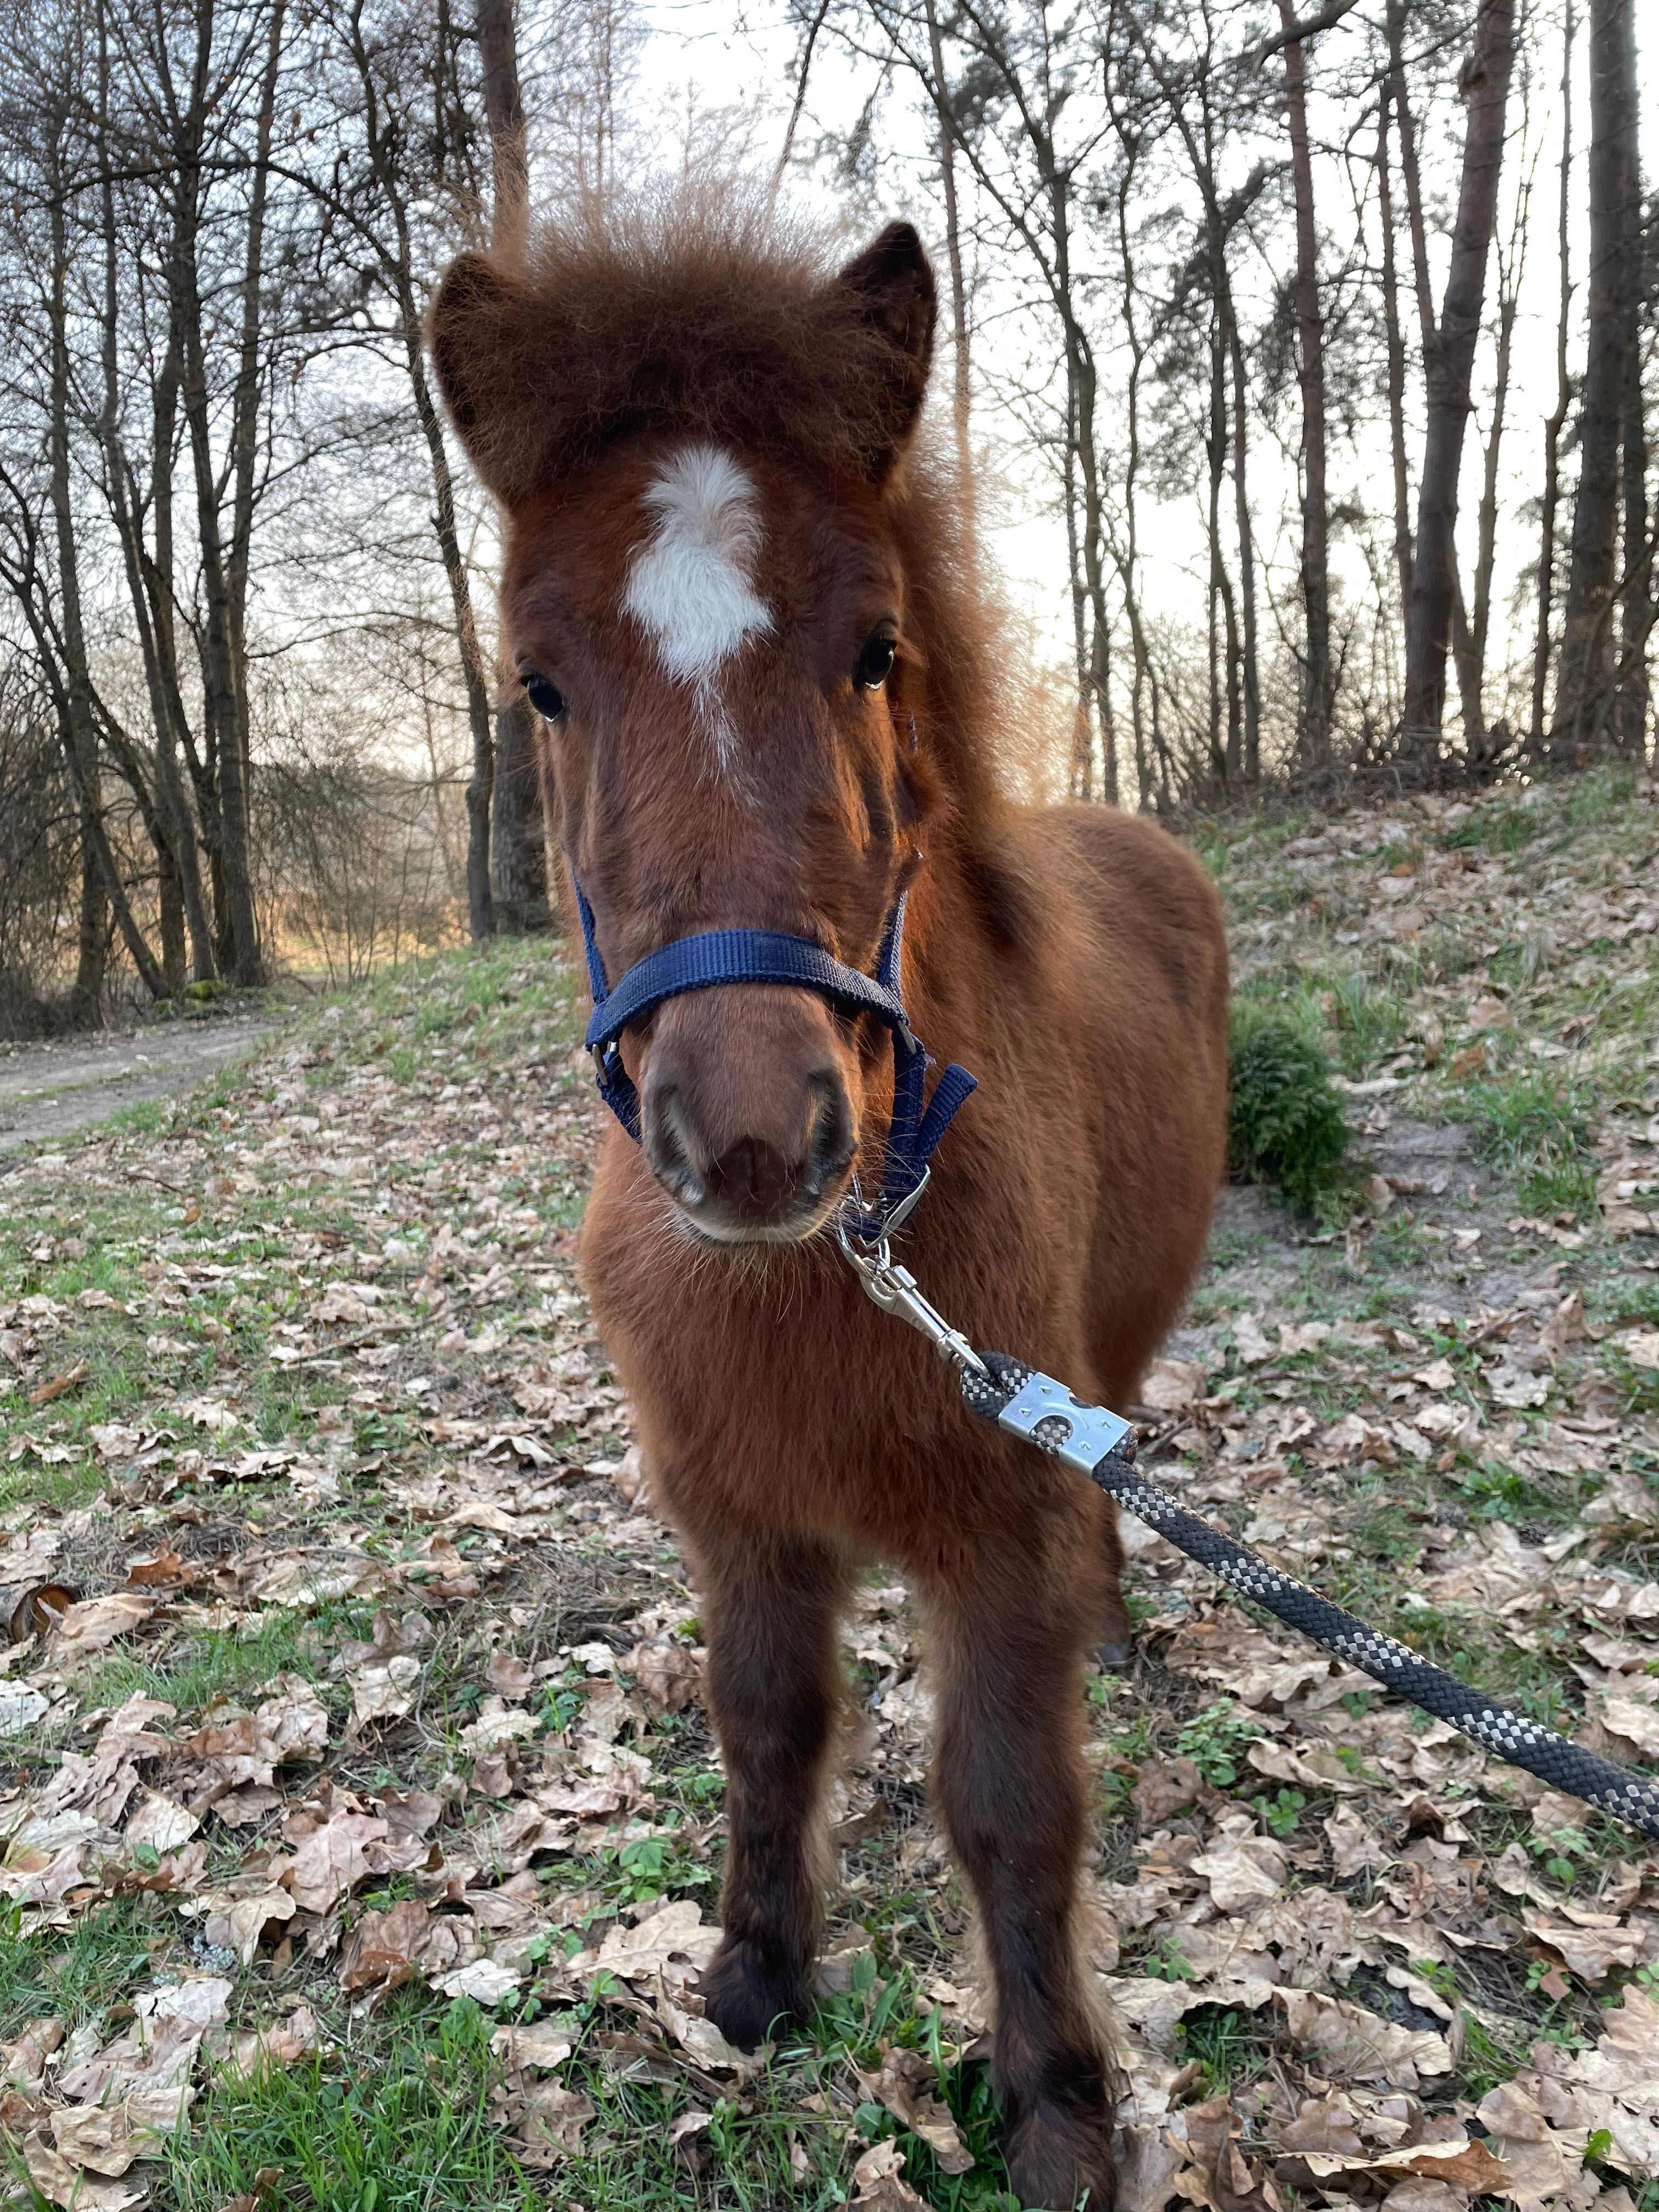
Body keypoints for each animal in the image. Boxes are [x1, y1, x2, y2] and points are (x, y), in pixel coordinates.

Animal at [431, 199, 1238, 2203]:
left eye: (878, 648)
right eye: (541, 682)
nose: (745, 1137)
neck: (841, 1267)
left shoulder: (1000, 1540)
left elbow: (1011, 1807)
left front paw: (1056, 2105)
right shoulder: (739, 1520)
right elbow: (768, 1724)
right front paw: (756, 1974)